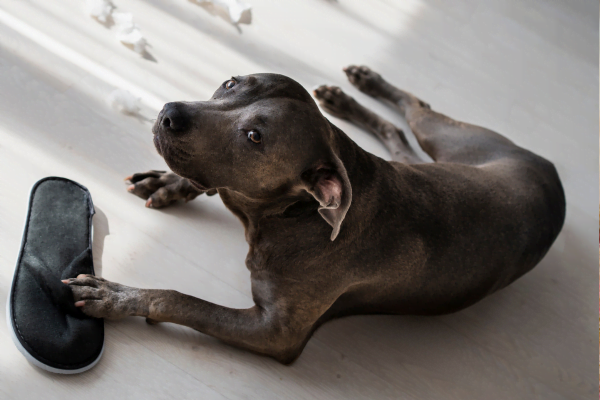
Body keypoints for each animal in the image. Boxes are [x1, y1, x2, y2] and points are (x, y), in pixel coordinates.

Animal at [65, 67, 568, 364]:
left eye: (255, 137)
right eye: (231, 83)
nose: (170, 113)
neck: (293, 214)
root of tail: (552, 174)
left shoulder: (275, 333)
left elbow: (179, 300)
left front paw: (118, 296)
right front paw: (172, 183)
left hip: (456, 140)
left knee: (418, 110)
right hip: (437, 157)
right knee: (398, 129)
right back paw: (354, 95)